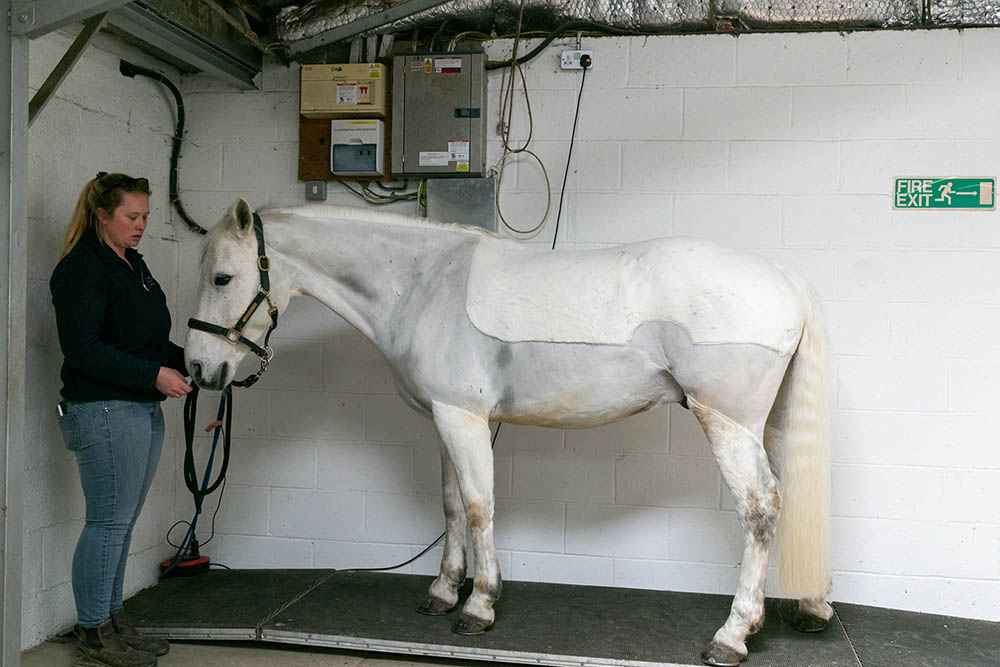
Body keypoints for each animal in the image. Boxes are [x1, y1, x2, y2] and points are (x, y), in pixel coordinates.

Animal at [184, 200, 832, 667]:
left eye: (222, 277)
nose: (196, 369)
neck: (421, 285)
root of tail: (784, 279)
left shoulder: (463, 419)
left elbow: (478, 506)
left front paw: (478, 605)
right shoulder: (447, 419)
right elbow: (451, 505)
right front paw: (442, 592)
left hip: (727, 422)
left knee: (761, 510)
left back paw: (732, 635)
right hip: (768, 425)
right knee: (792, 501)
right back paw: (810, 609)